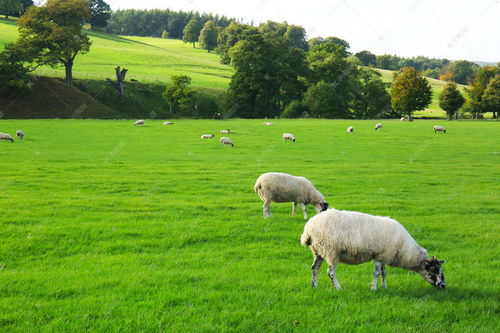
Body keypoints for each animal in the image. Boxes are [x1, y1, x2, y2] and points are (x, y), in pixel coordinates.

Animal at [300, 209, 446, 290]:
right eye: (433, 271)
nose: (443, 286)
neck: (404, 249)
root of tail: (309, 228)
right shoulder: (379, 256)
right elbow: (376, 273)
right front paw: (374, 288)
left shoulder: (384, 255)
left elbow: (384, 272)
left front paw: (384, 286)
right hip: (331, 251)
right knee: (330, 272)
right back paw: (338, 287)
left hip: (318, 251)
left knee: (314, 268)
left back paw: (314, 285)